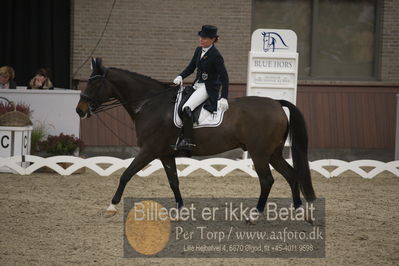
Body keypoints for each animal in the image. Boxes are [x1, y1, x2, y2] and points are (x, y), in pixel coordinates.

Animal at [76, 57, 318, 216]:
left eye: (94, 82)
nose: (80, 110)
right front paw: (182, 209)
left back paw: (255, 215)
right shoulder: (165, 154)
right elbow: (173, 181)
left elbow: (126, 174)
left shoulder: (148, 151)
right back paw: (299, 211)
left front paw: (111, 206)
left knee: (267, 180)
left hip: (259, 153)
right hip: (273, 153)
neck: (150, 103)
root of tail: (277, 103)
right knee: (292, 175)